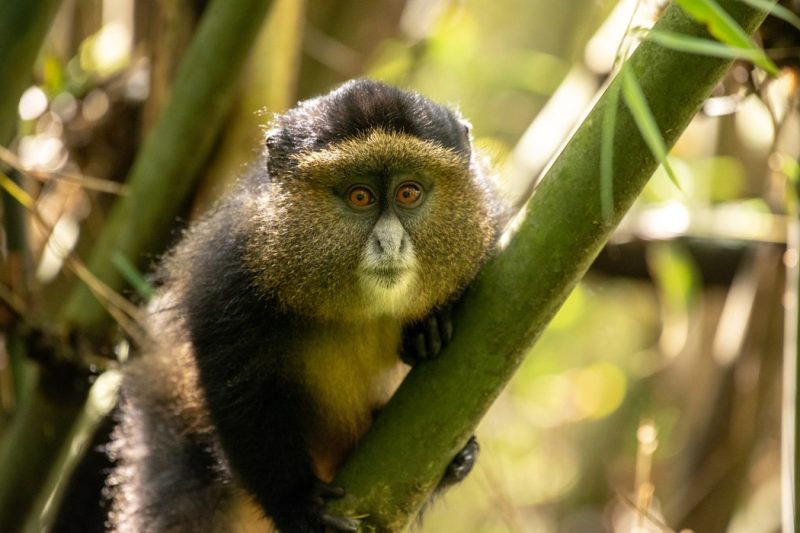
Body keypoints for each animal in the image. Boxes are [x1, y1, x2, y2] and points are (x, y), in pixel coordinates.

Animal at [104, 79, 506, 532]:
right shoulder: (230, 274)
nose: (390, 243)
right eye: (361, 196)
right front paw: (295, 503)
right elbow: (239, 393)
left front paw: (430, 324)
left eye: (409, 193)